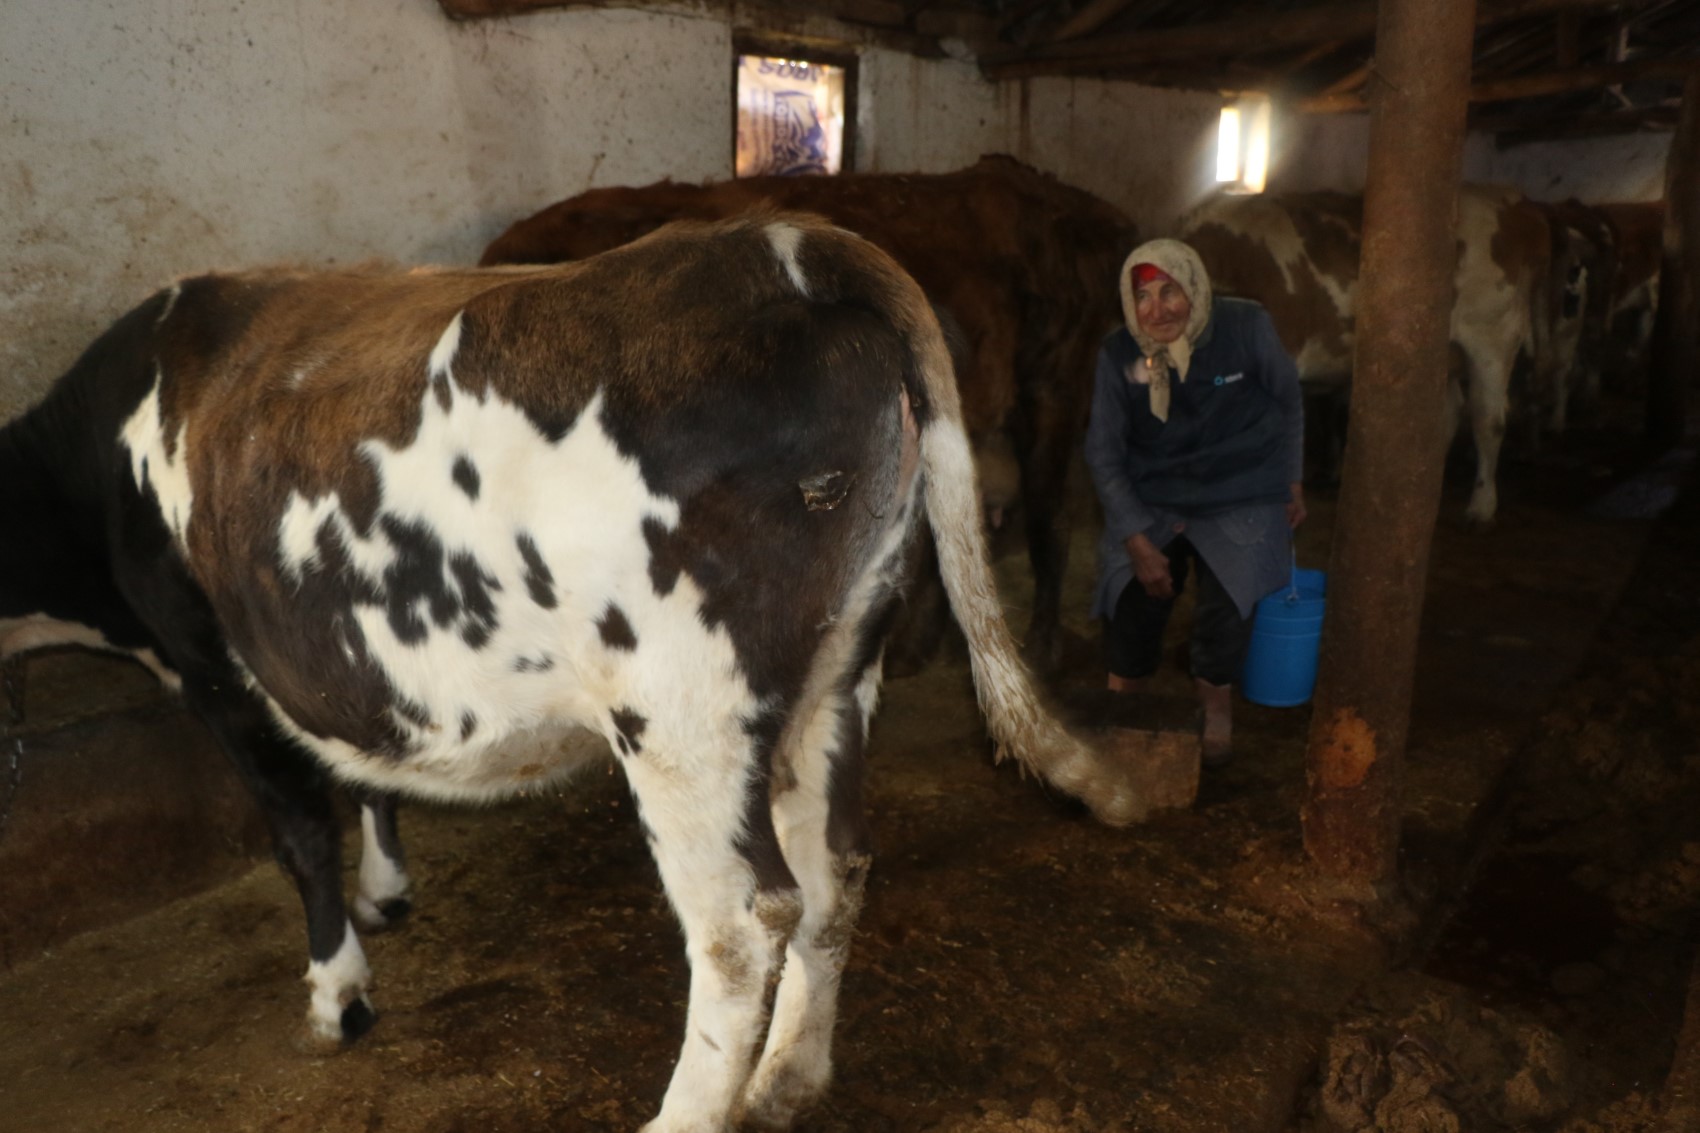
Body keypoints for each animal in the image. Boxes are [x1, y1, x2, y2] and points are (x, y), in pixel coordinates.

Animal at [3, 214, 1142, 1129]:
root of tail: (791, 242)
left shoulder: (212, 663)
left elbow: (300, 833)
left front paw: (338, 992)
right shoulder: (336, 660)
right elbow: (366, 771)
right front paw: (387, 893)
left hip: (679, 706)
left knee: (743, 920)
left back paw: (688, 1113)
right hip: (834, 670)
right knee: (835, 867)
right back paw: (788, 1075)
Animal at [1190, 182, 1584, 523]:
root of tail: (1513, 199)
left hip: (1492, 337)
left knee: (1489, 419)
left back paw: (1481, 506)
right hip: (1441, 353)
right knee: (1446, 415)